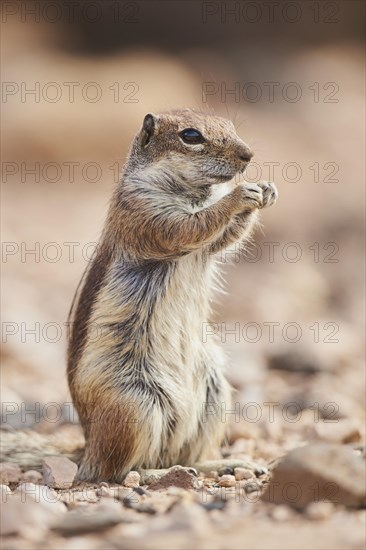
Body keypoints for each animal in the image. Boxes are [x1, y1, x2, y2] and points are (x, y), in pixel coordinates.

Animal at [0, 110, 276, 486]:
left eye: (230, 125)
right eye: (191, 136)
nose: (248, 155)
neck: (193, 192)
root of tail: (87, 447)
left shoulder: (206, 242)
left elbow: (224, 239)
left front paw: (266, 190)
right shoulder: (143, 212)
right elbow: (190, 227)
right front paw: (238, 195)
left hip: (214, 392)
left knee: (178, 454)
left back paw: (222, 465)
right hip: (135, 404)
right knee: (116, 472)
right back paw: (158, 474)